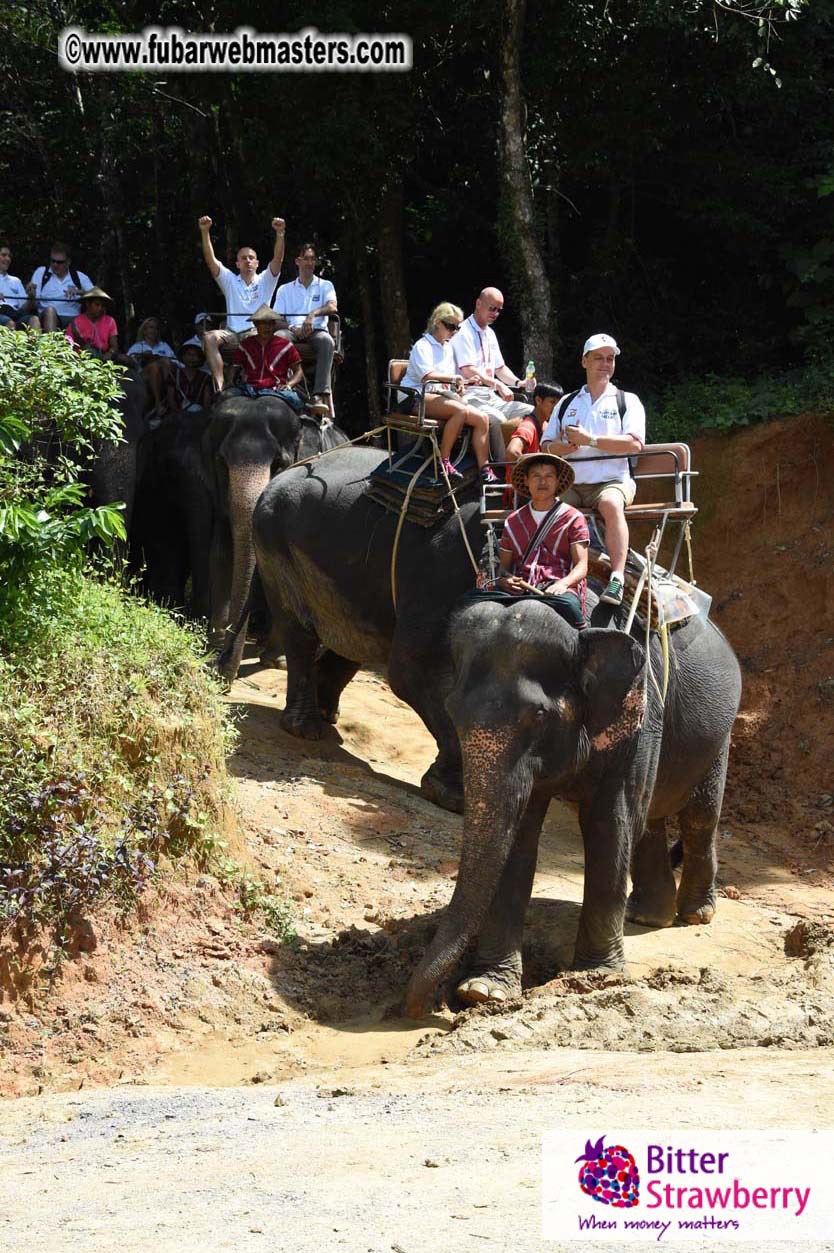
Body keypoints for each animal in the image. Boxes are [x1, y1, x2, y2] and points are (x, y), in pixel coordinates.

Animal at [204, 392, 349, 680]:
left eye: (279, 464)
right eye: (221, 463)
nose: (219, 669)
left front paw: (276, 660)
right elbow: (221, 553)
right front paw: (214, 644)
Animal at [403, 598, 741, 1017]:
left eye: (539, 716)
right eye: (452, 711)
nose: (431, 1006)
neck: (578, 630)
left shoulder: (641, 713)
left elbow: (610, 822)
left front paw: (596, 980)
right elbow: (520, 832)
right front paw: (484, 991)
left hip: (719, 737)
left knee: (698, 818)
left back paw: (696, 914)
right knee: (650, 820)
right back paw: (646, 915)